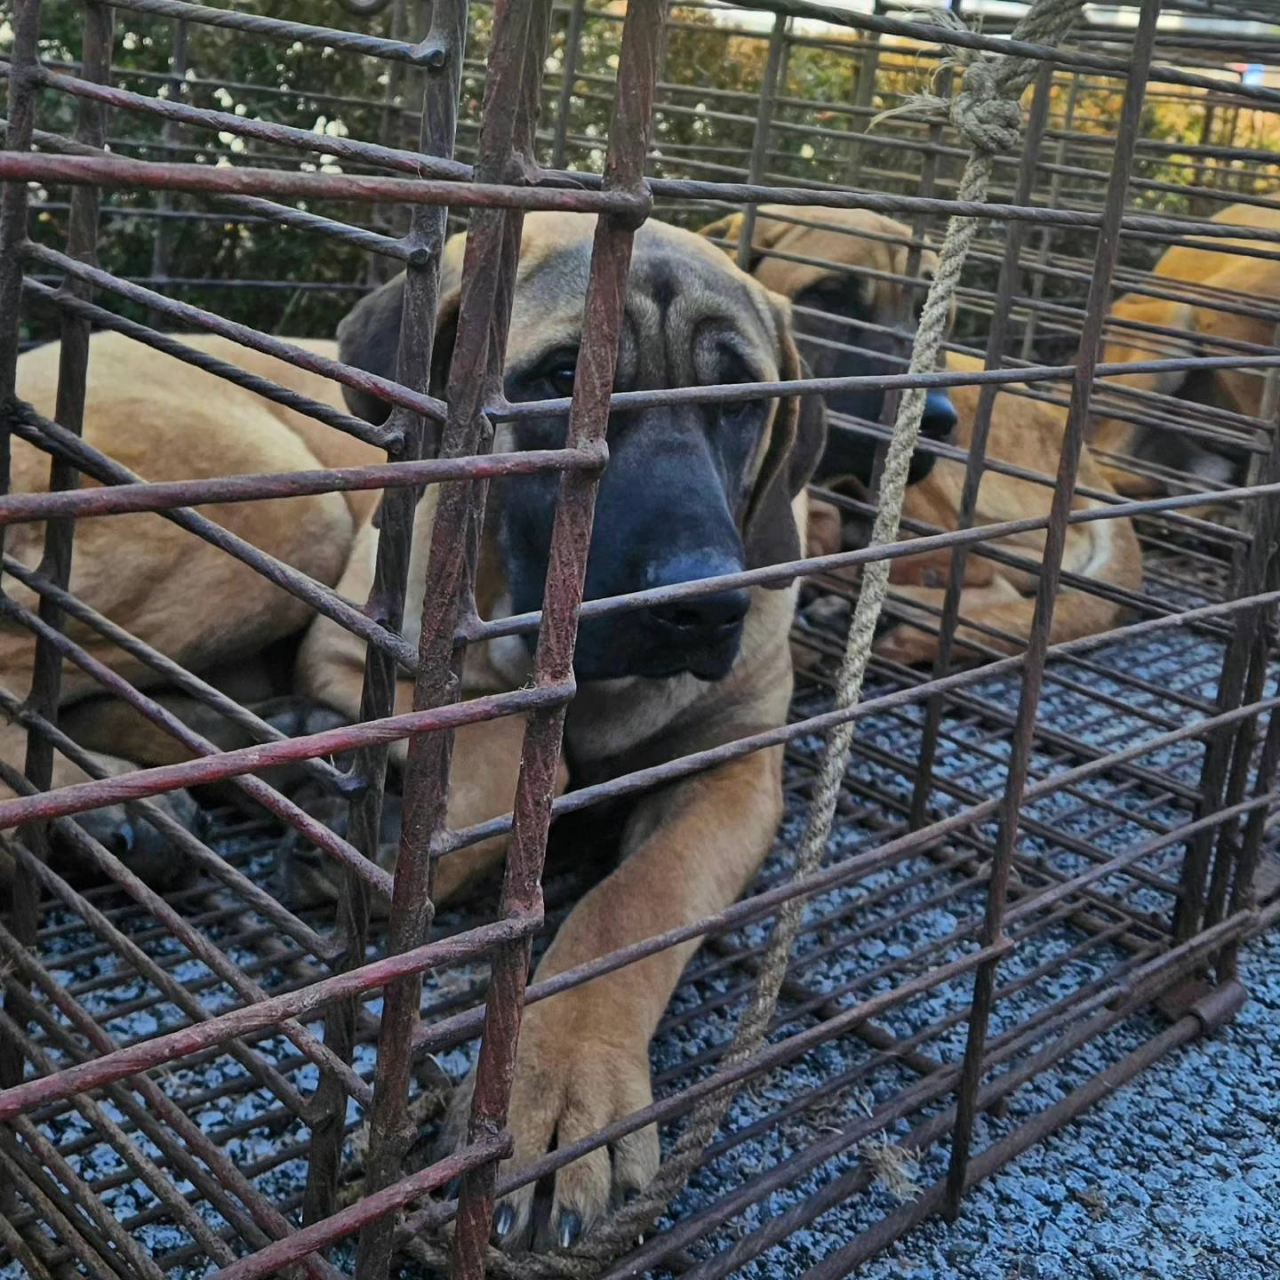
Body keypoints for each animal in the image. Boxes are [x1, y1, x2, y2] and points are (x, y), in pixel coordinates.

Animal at [5, 212, 824, 1249]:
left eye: (744, 402)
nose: (699, 604)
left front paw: (562, 1085)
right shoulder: (355, 653)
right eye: (562, 378)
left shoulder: (737, 768)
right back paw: (108, 810)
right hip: (292, 507)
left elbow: (635, 904)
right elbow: (514, 757)